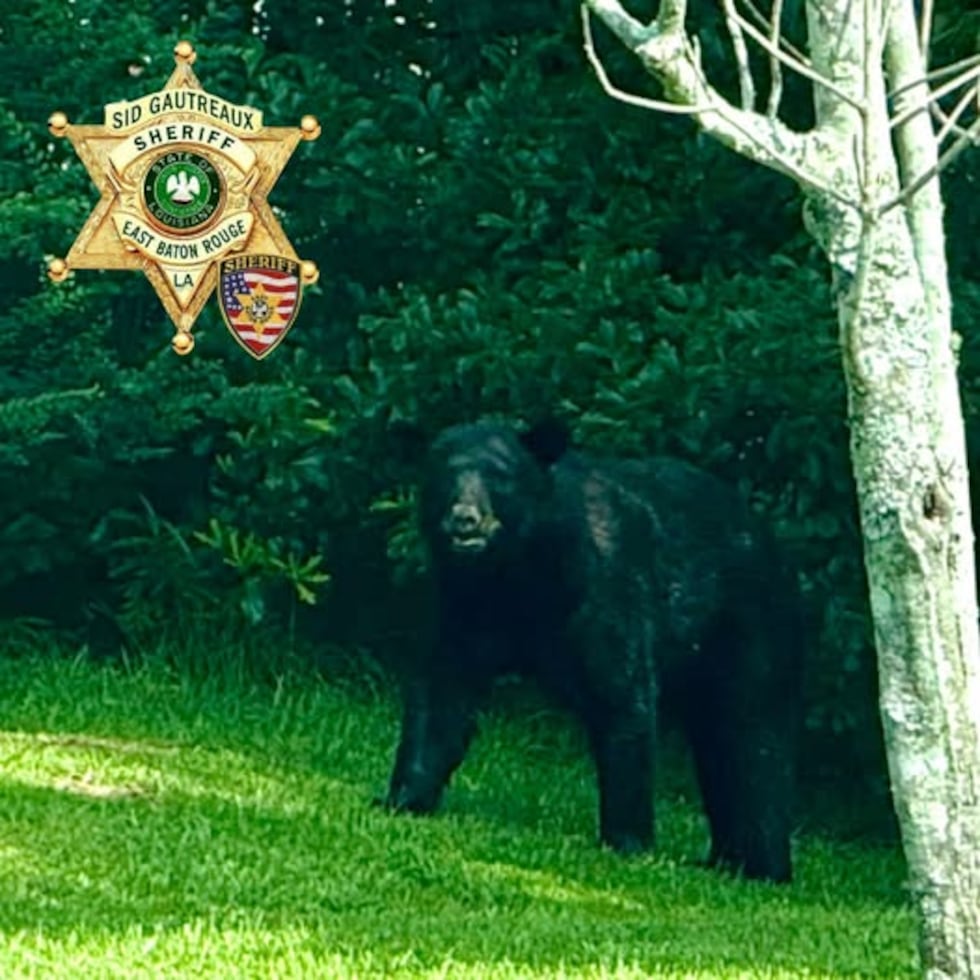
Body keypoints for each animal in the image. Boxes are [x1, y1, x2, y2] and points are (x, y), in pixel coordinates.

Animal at [378, 418, 803, 883]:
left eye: (499, 475)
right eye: (445, 475)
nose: (464, 518)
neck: (518, 571)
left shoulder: (604, 588)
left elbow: (623, 697)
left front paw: (627, 840)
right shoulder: (466, 604)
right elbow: (443, 690)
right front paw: (402, 797)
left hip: (743, 628)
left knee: (749, 735)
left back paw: (760, 865)